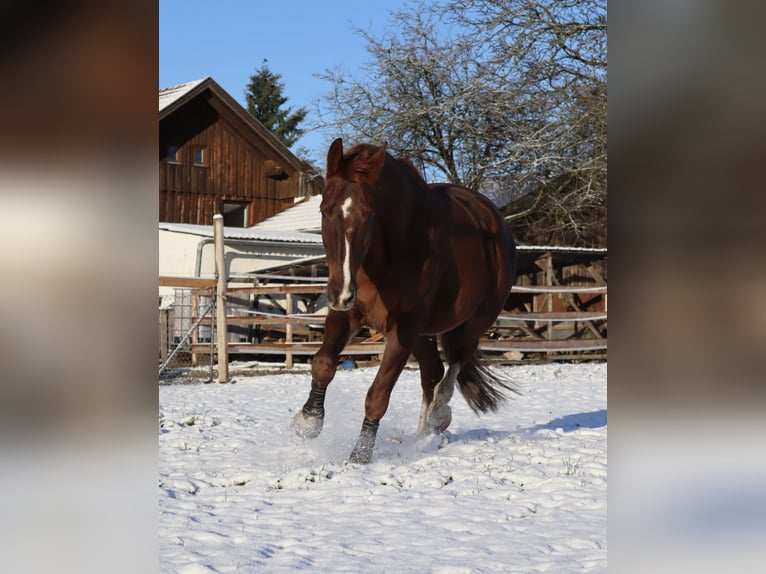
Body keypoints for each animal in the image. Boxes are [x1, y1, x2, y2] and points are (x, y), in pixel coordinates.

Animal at [292, 138, 517, 463]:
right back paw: (423, 436)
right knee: (433, 374)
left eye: (369, 215)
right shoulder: (347, 314)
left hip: (472, 325)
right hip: (423, 334)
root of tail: (493, 218)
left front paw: (360, 456)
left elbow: (378, 394)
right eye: (324, 210)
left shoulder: (403, 330)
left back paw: (438, 418)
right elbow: (323, 363)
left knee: (450, 374)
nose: (340, 293)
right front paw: (308, 421)